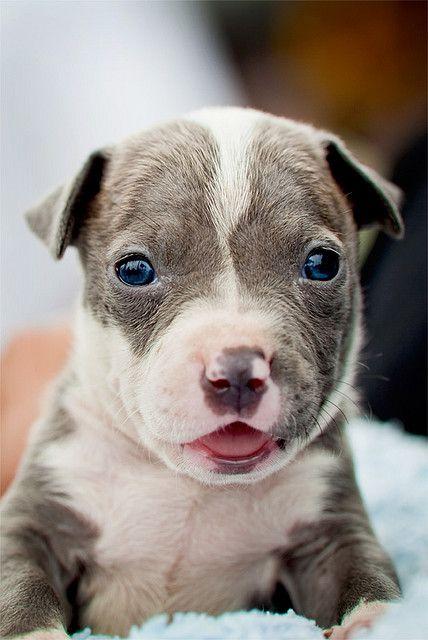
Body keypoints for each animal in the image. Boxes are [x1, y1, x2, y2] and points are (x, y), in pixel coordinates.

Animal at [0, 107, 402, 636]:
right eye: (134, 270)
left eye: (321, 264)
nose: (235, 371)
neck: (188, 484)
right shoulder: (35, 520)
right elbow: (20, 591)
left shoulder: (331, 531)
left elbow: (366, 576)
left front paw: (377, 622)